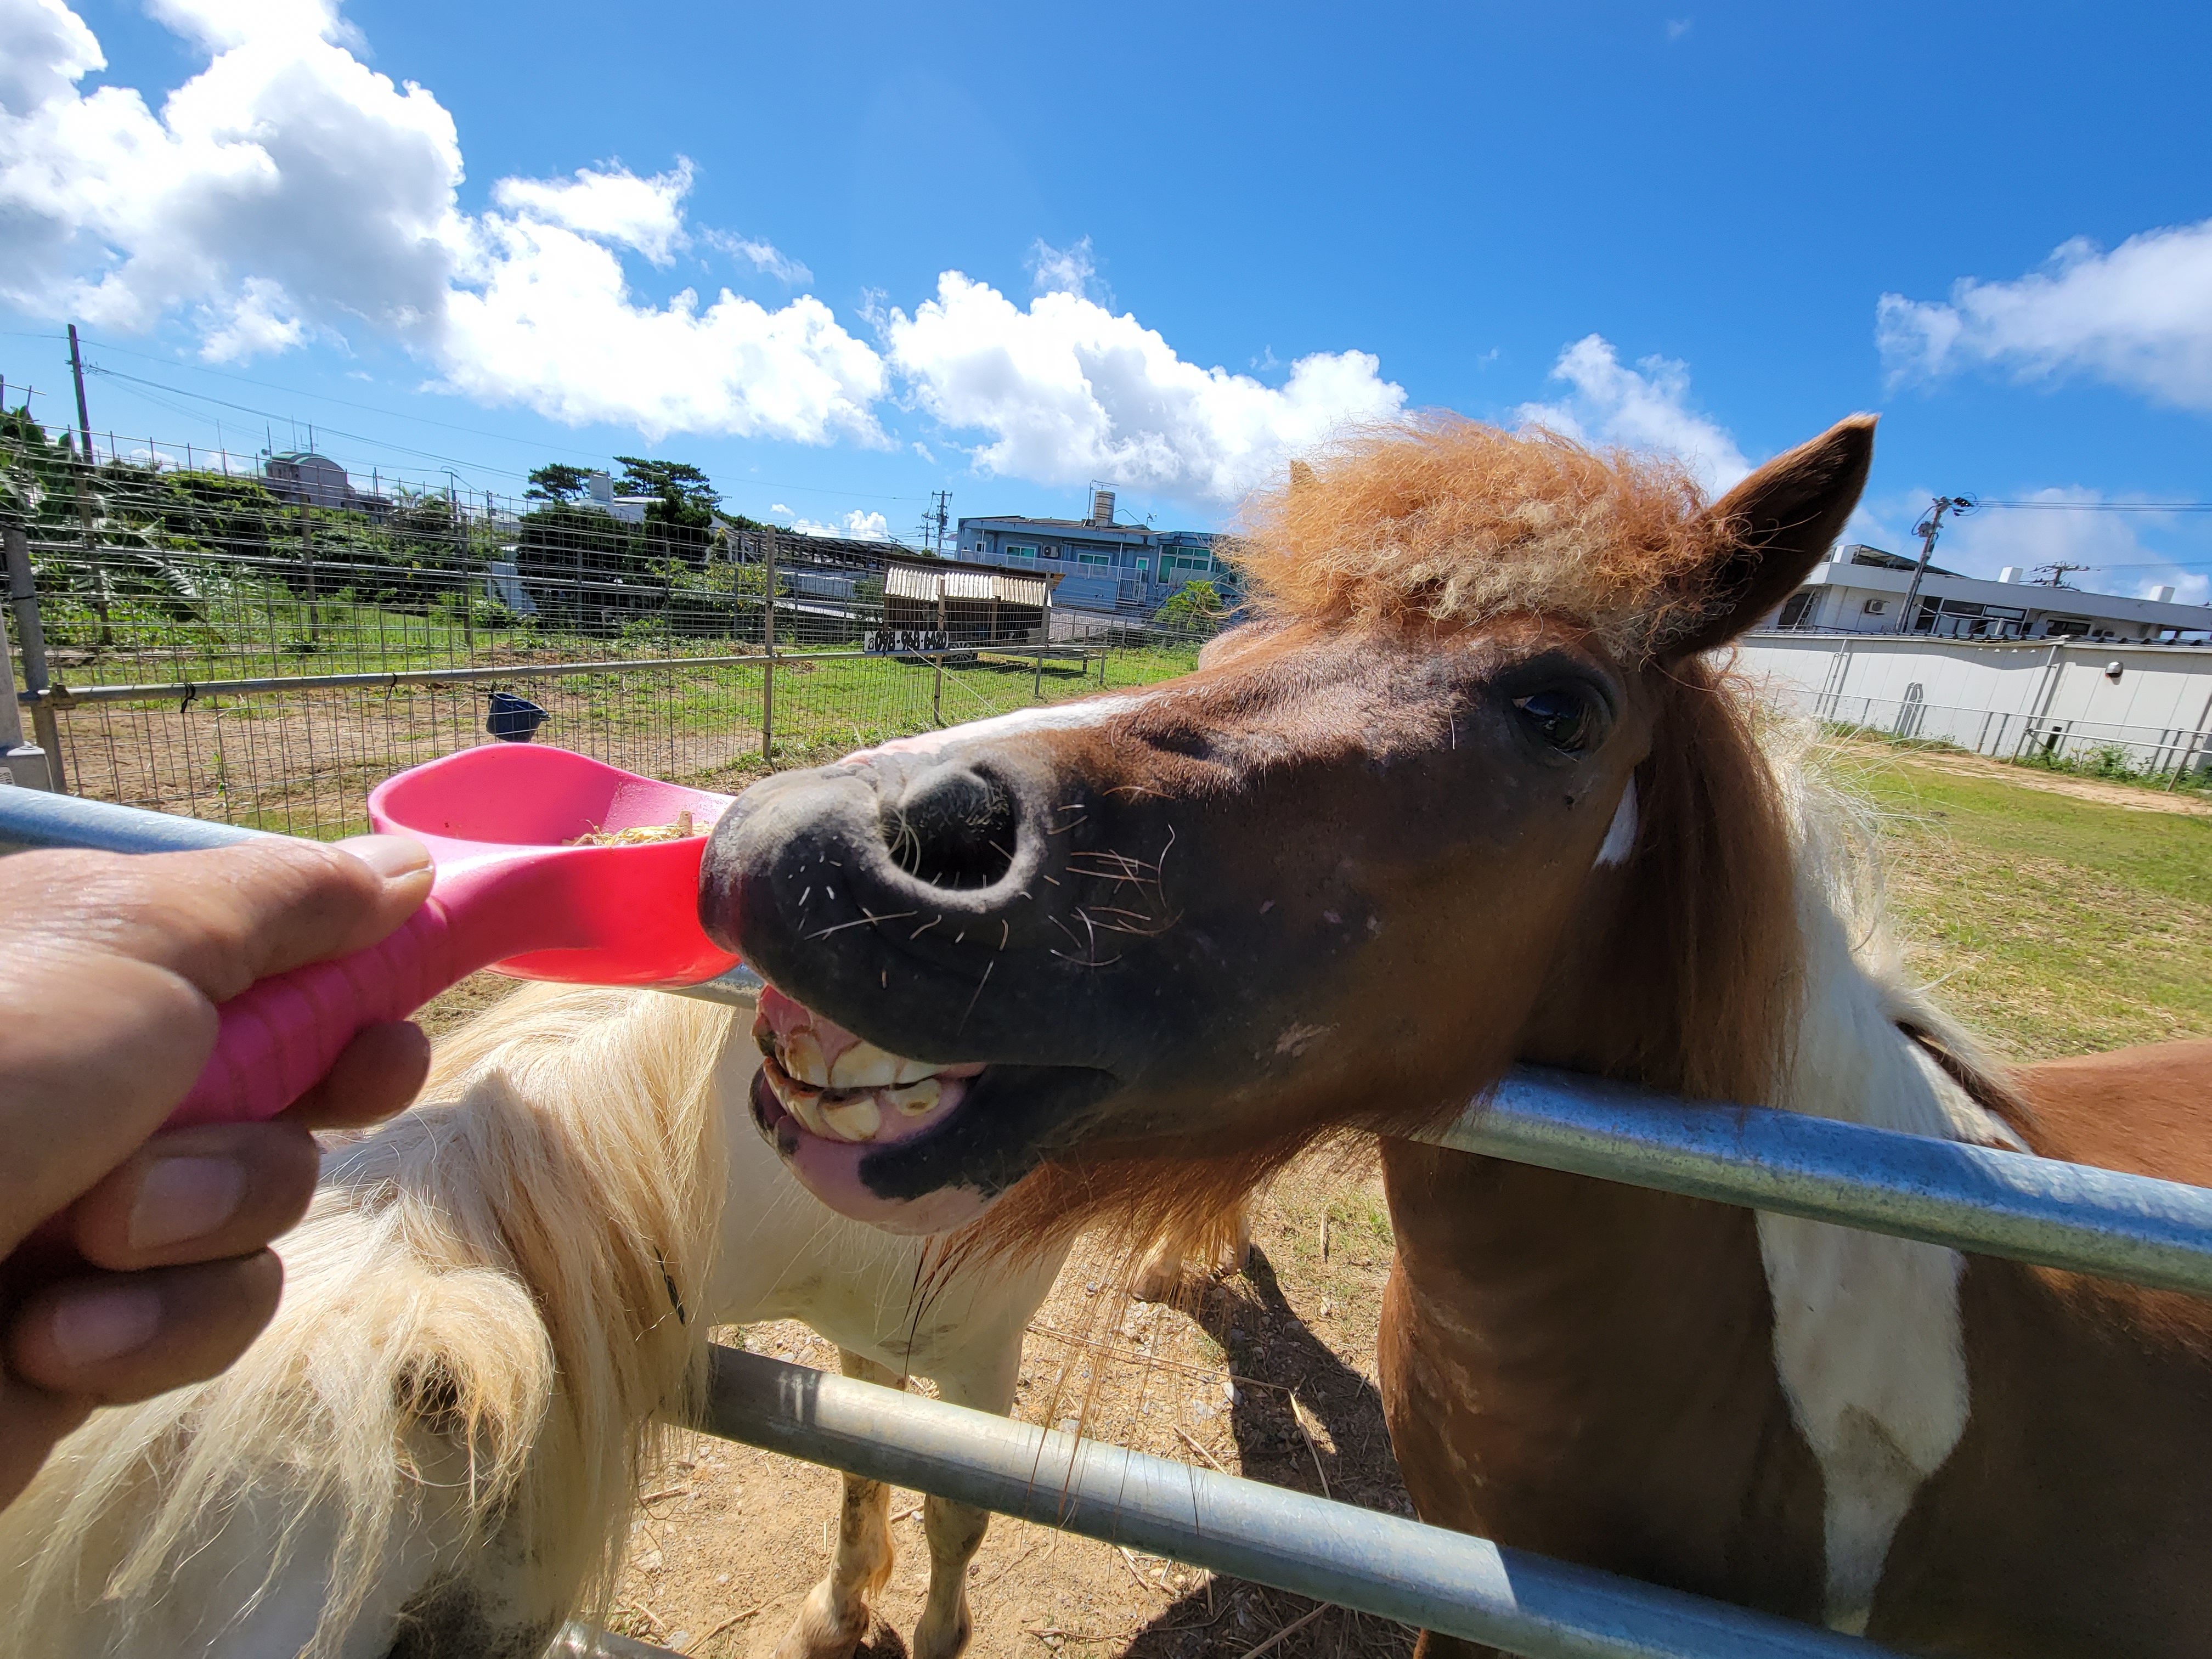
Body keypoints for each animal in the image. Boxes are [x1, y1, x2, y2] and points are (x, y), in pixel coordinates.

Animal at [0, 986, 1079, 1659]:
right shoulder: (867, 1340)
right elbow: (865, 1472)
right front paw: (840, 1614)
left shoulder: (983, 1361)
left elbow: (957, 1511)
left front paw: (936, 1636)